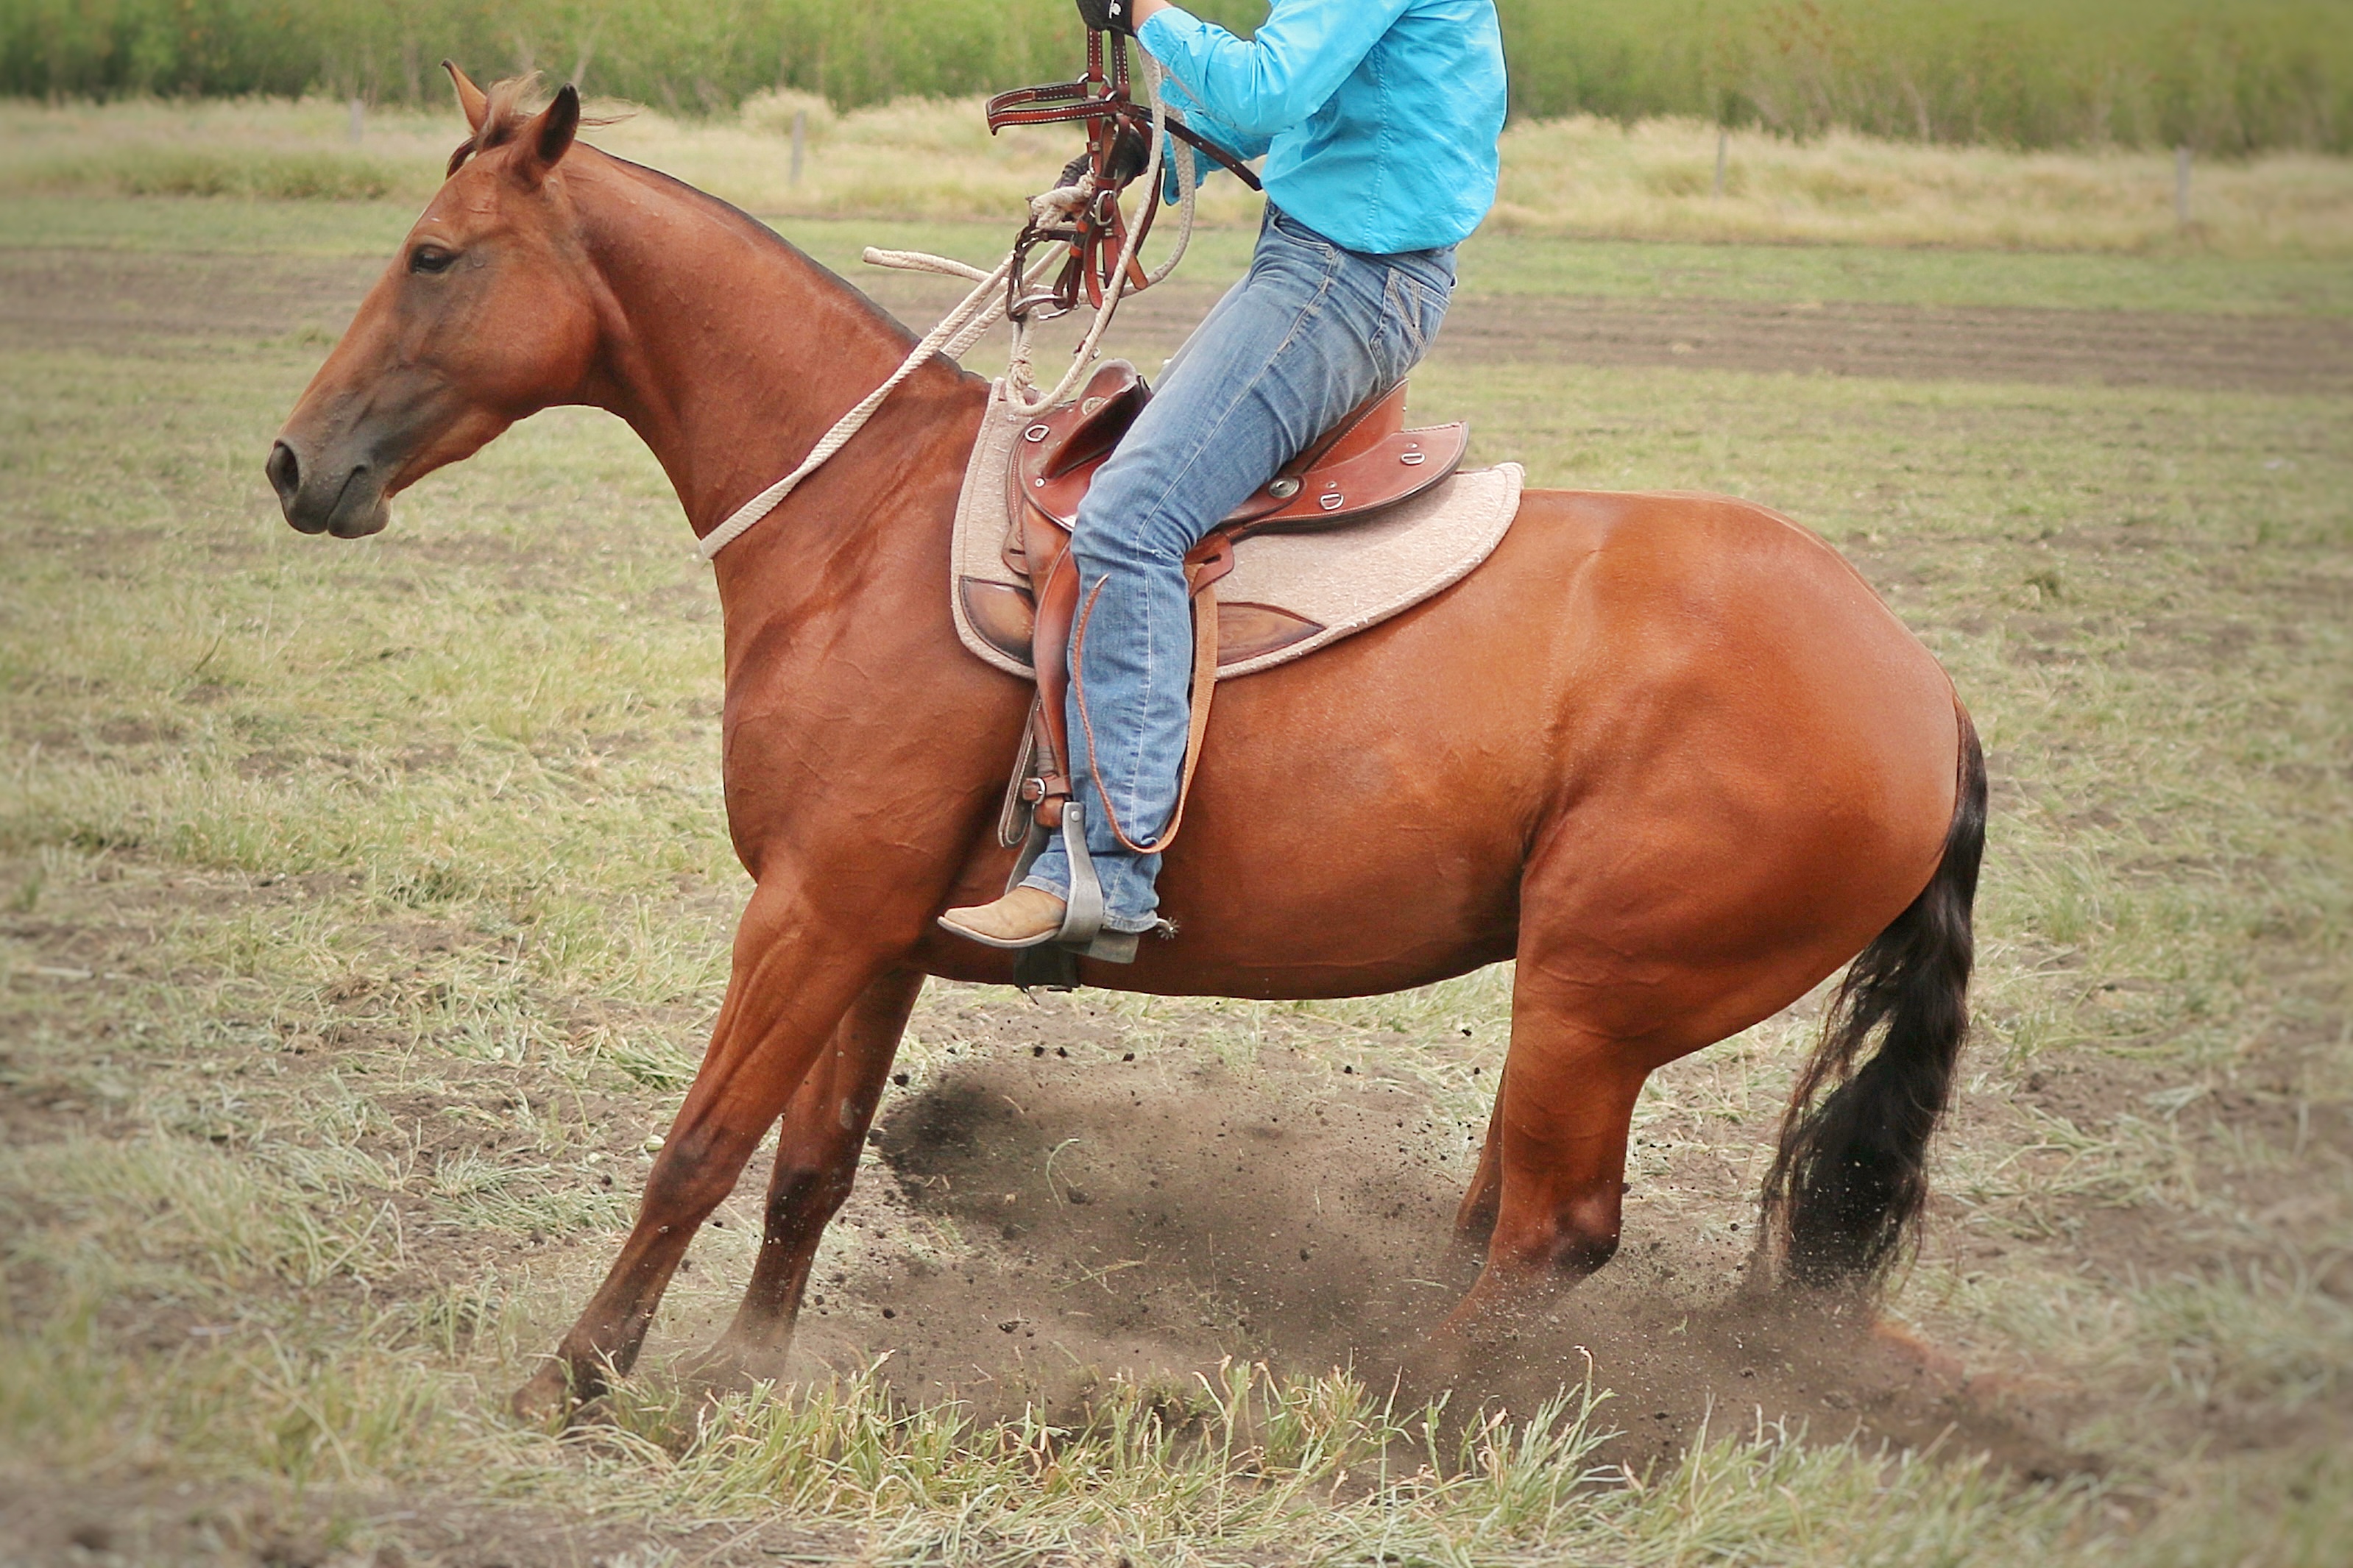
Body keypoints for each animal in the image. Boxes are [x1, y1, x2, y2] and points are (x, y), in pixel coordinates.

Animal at [267, 72, 1985, 1422]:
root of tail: (1921, 688)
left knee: (1555, 1230)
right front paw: (742, 1370)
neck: (864, 529)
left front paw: (572, 1376)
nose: (294, 462)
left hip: (1597, 998)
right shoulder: (873, 934)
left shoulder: (807, 912)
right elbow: (810, 1163)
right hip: (1567, 1007)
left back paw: (1386, 1403)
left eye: (432, 255)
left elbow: (698, 1146)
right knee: (1502, 1211)